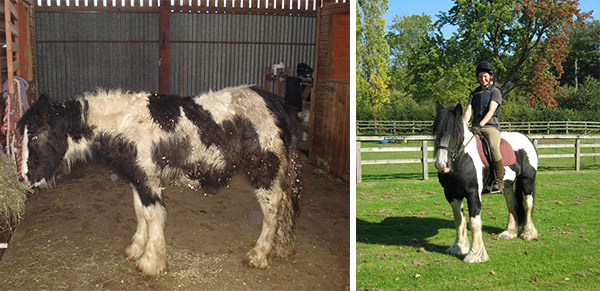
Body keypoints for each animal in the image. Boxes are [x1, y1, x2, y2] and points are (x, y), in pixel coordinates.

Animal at [16, 86, 302, 276]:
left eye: (35, 136)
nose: (27, 178)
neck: (123, 123)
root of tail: (273, 102)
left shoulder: (148, 178)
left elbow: (153, 215)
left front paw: (150, 263)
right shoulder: (138, 176)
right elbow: (140, 212)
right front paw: (136, 249)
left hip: (264, 169)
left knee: (272, 207)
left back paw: (259, 254)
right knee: (286, 204)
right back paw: (283, 248)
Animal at [432, 103, 540, 264]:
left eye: (456, 134)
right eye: (436, 132)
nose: (441, 165)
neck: (462, 159)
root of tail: (526, 138)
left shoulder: (473, 194)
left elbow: (474, 222)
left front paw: (475, 254)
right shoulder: (451, 194)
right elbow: (459, 220)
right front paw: (458, 247)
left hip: (527, 180)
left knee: (527, 204)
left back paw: (527, 233)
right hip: (507, 185)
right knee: (512, 204)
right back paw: (509, 232)